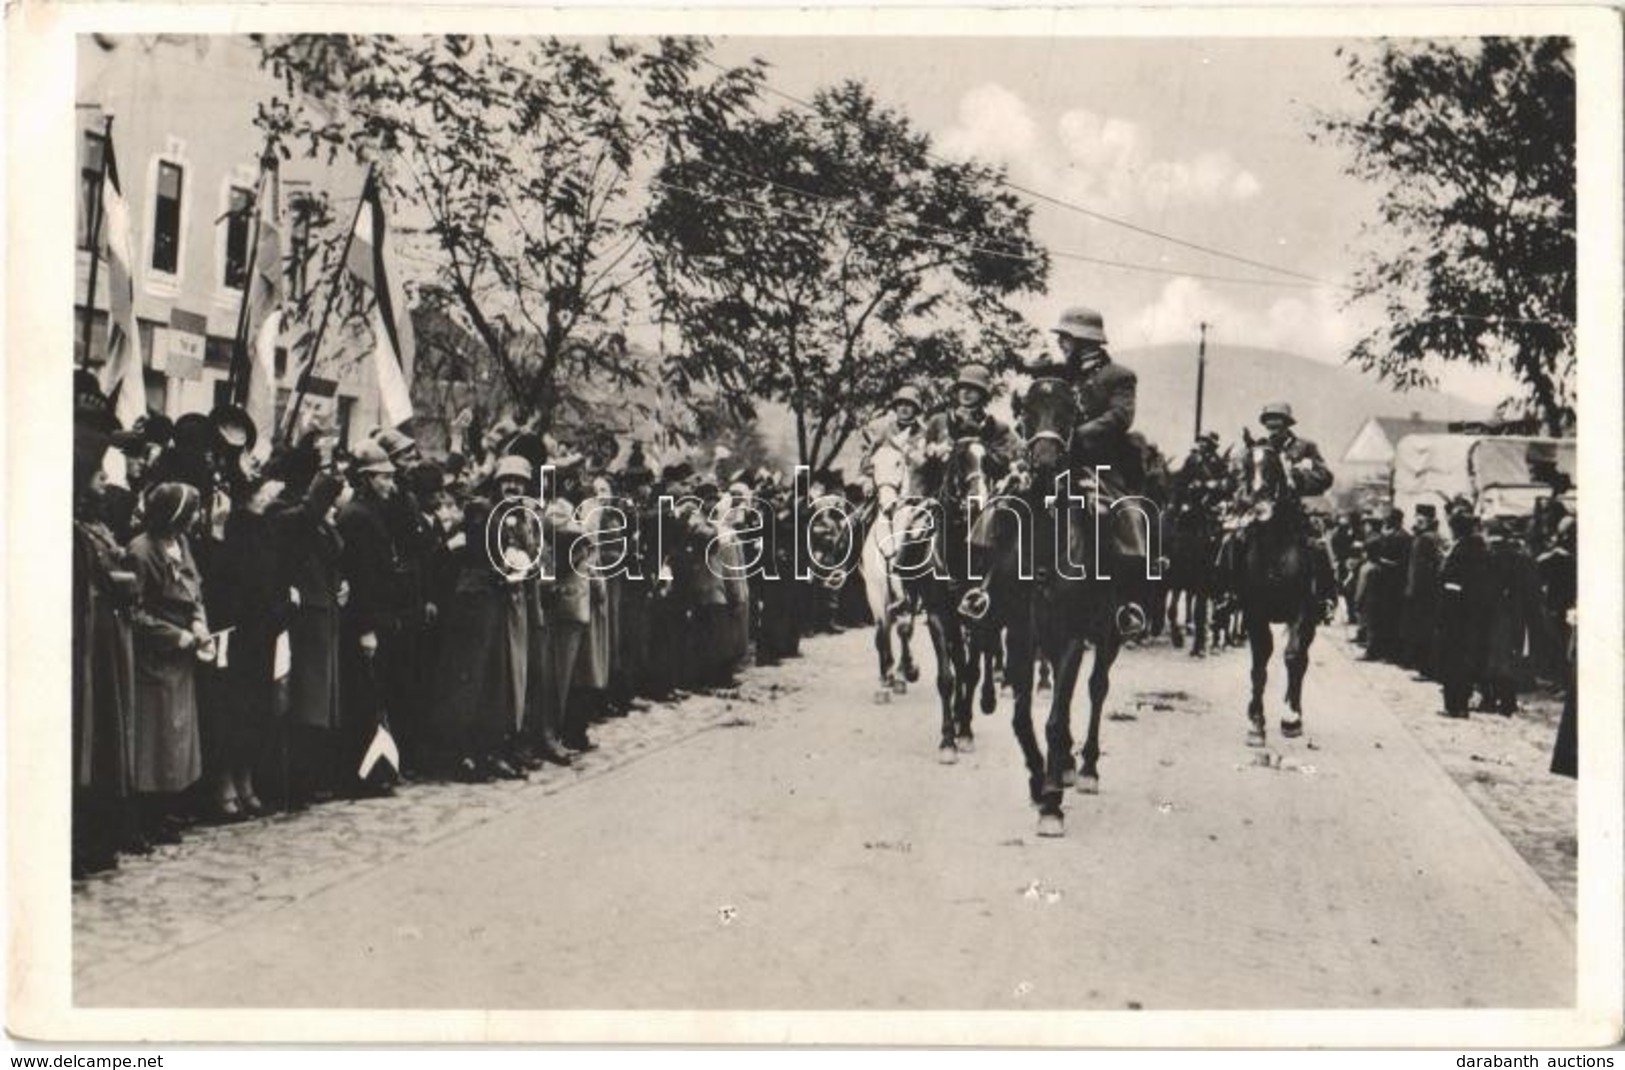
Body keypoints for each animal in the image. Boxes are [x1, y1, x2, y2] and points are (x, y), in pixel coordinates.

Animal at [975, 378, 1131, 839]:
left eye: (1069, 413)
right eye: (1027, 412)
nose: (1044, 464)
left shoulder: (1073, 637)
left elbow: (1057, 718)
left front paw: (1051, 804)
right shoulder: (1020, 636)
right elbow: (1022, 718)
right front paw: (1036, 778)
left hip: (1108, 635)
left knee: (1096, 689)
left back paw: (1086, 767)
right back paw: (1061, 766)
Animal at [1228, 429, 1319, 744]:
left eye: (1274, 466)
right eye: (1245, 466)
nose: (1259, 501)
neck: (1276, 550)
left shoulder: (1302, 610)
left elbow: (1292, 657)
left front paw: (1290, 717)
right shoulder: (1254, 612)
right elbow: (1260, 663)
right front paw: (1256, 722)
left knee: (1302, 660)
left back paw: (1296, 714)